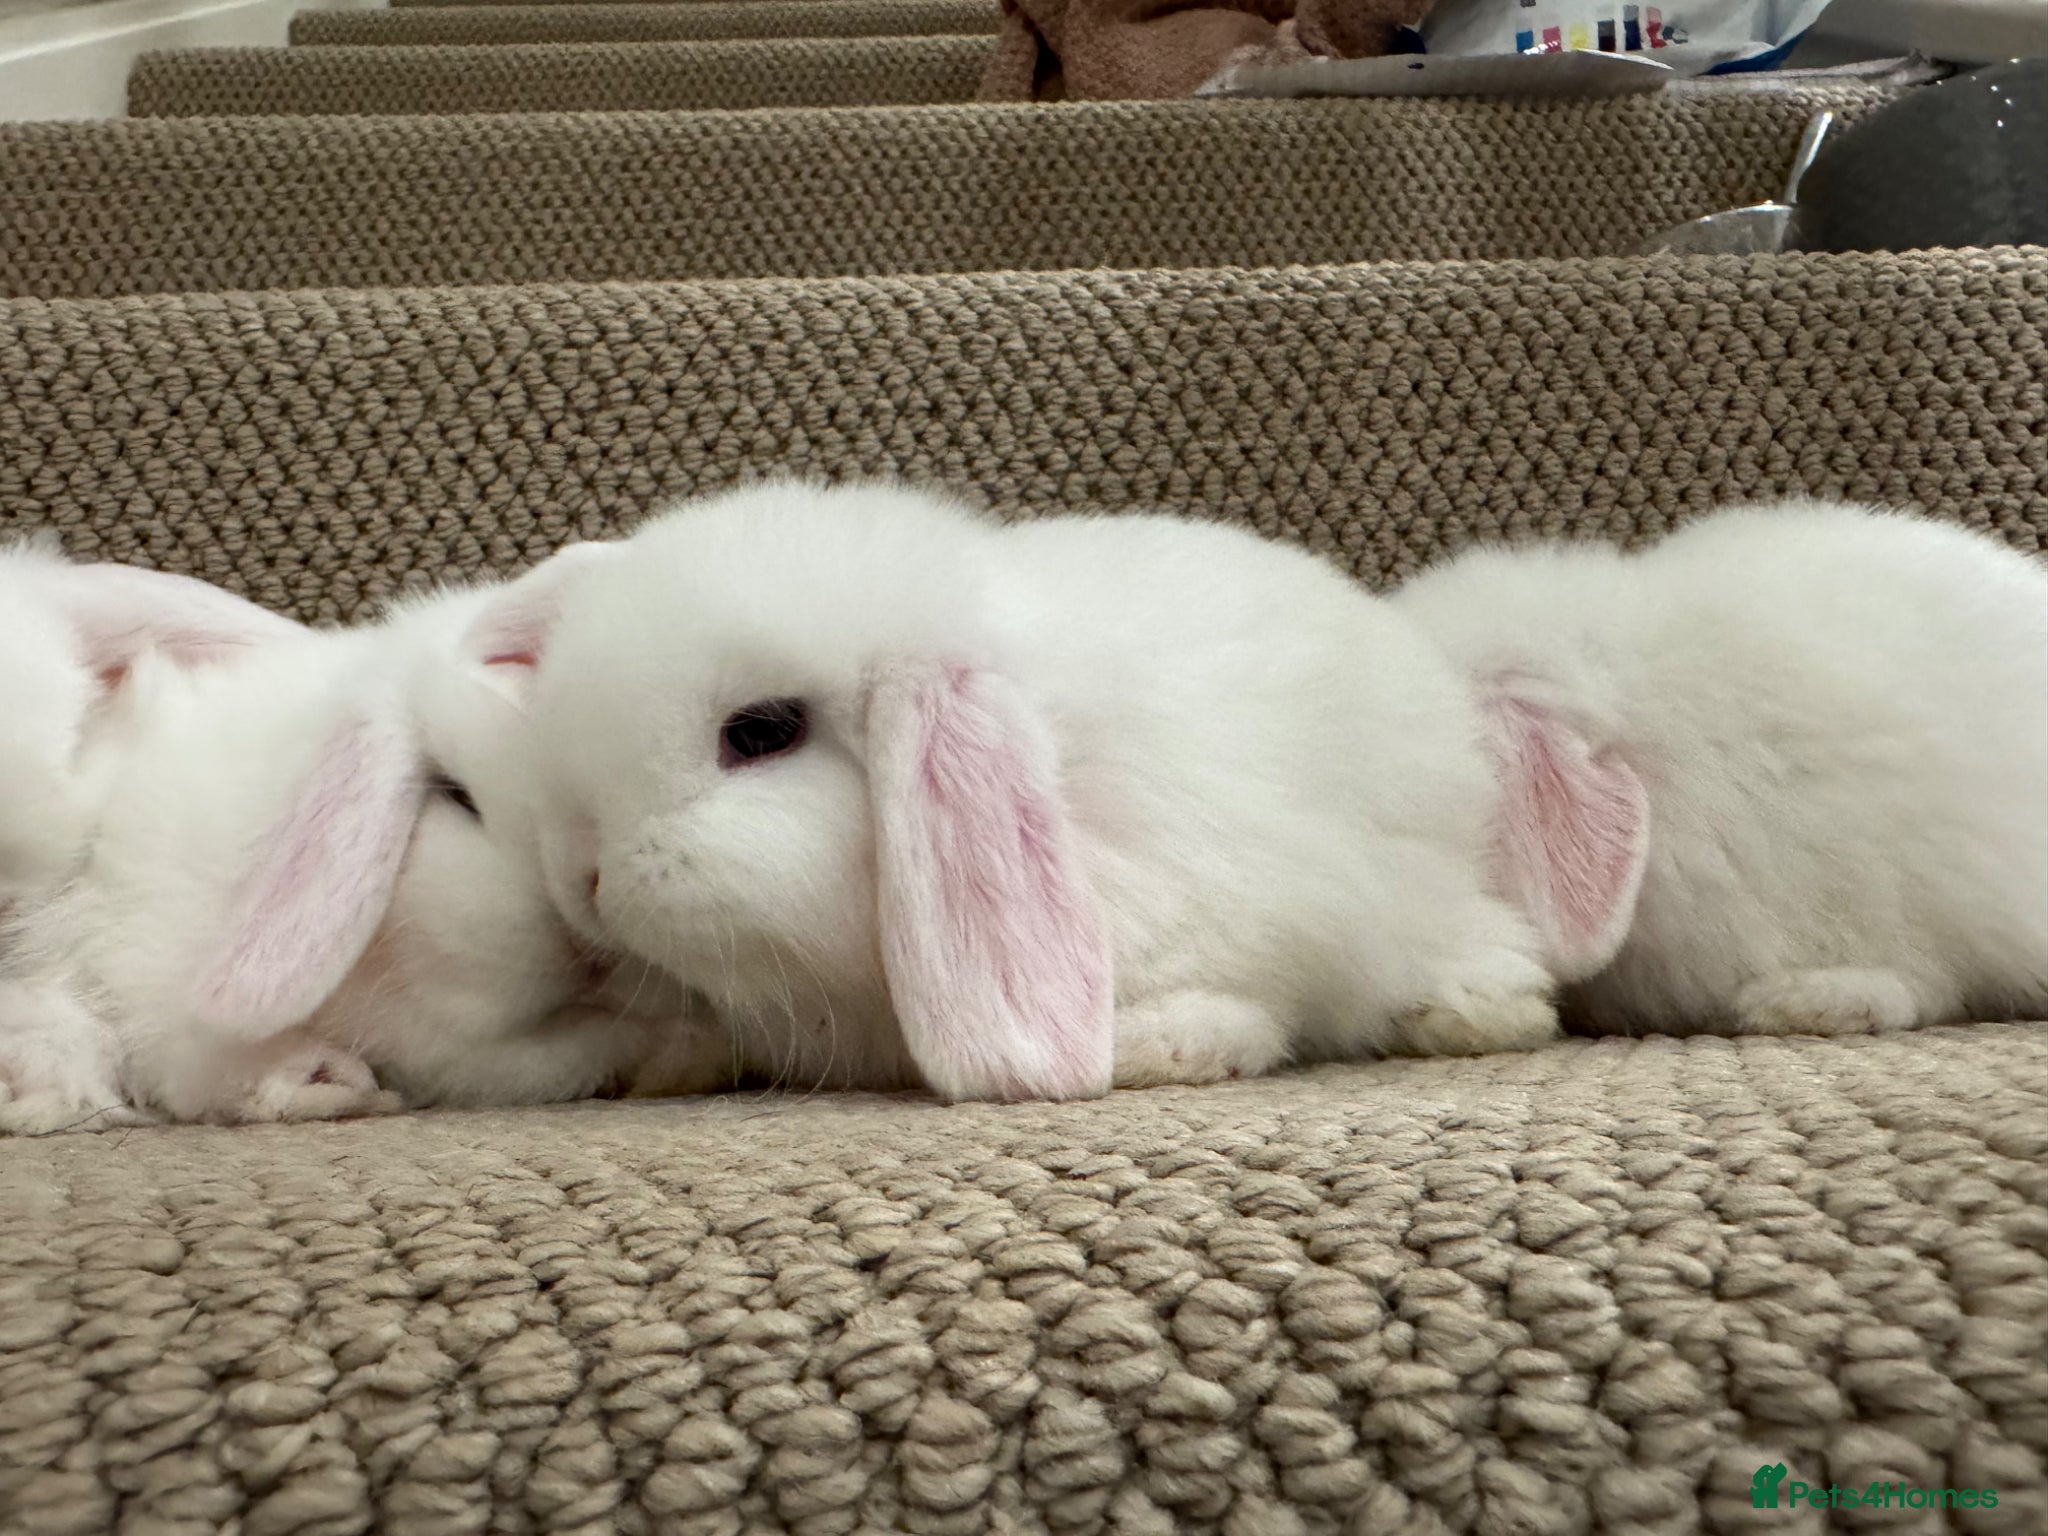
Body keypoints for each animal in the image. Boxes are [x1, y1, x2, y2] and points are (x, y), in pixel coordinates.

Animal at [501, 478, 1571, 1104]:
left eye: (761, 732)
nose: (582, 877)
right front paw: (661, 1064)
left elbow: (1241, 1004)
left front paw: (1147, 1050)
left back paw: (1470, 1010)